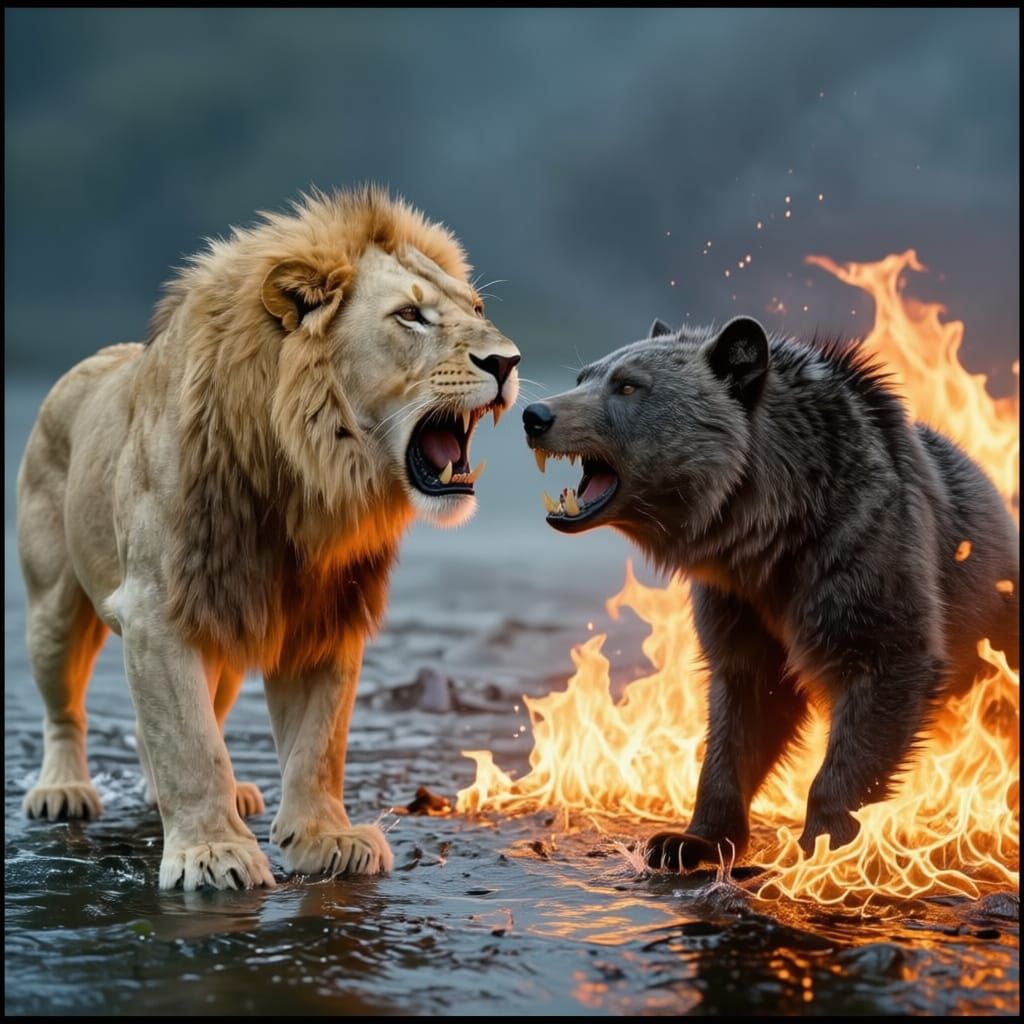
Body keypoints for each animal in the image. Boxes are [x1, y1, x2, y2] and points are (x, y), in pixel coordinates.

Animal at [16, 186, 520, 890]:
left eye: (476, 309)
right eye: (410, 317)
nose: (508, 362)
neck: (307, 482)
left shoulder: (327, 612)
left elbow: (317, 745)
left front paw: (326, 839)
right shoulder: (157, 608)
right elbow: (191, 746)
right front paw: (211, 853)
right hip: (55, 608)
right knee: (66, 707)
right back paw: (62, 790)